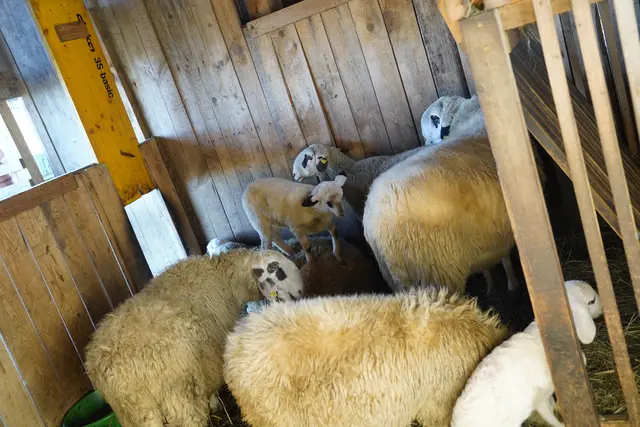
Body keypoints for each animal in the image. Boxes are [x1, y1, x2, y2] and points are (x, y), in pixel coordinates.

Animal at [84, 249, 304, 427]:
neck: (226, 280)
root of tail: (126, 380)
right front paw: (214, 403)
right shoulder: (211, 352)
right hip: (180, 398)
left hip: (134, 416)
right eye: (277, 269)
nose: (301, 292)